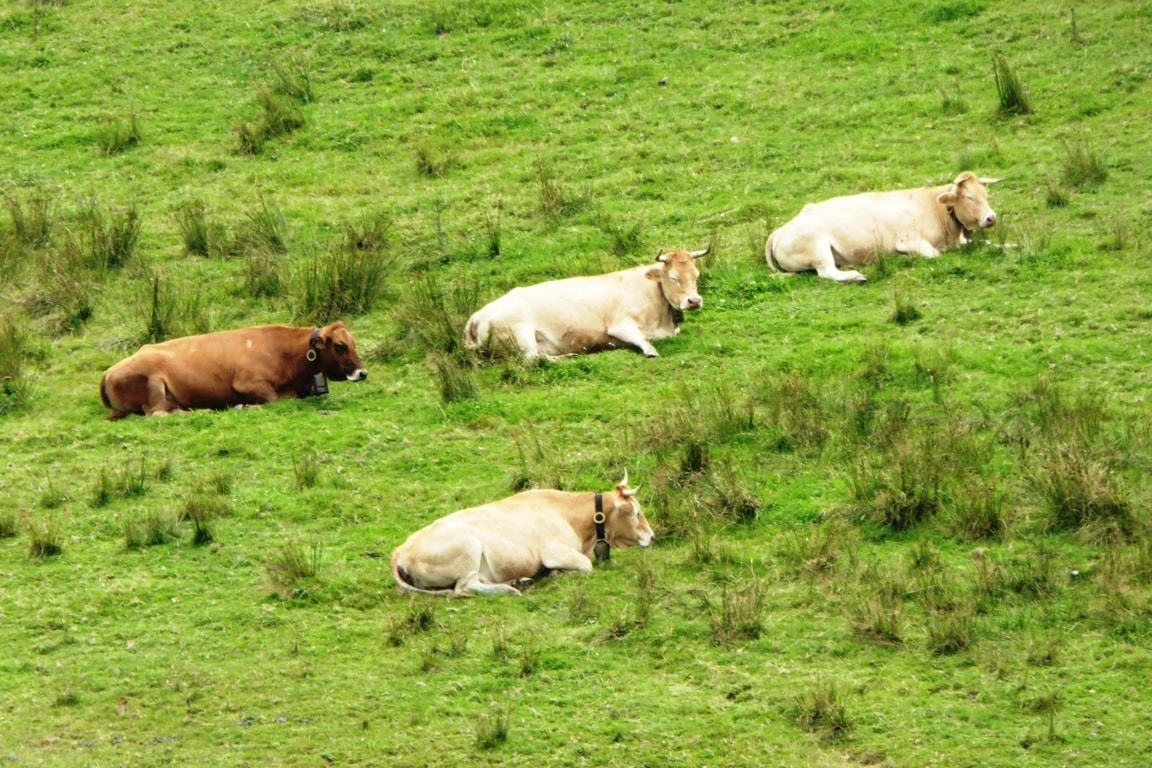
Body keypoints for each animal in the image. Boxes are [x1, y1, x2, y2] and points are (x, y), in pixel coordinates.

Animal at [103, 322, 366, 423]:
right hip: (154, 383)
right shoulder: (247, 383)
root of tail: (108, 372)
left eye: (354, 343)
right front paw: (244, 406)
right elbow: (272, 400)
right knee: (158, 414)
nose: (362, 373)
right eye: (340, 346)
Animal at [391, 476, 654, 598]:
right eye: (637, 513)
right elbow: (586, 565)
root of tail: (400, 550)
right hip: (468, 548)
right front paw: (555, 573)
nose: (651, 537)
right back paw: (510, 589)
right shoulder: (554, 552)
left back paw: (518, 581)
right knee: (465, 586)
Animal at [764, 171, 999, 282]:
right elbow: (933, 255)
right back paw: (856, 276)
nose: (991, 218)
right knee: (827, 272)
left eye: (985, 194)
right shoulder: (908, 241)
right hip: (818, 249)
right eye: (969, 197)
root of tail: (779, 231)